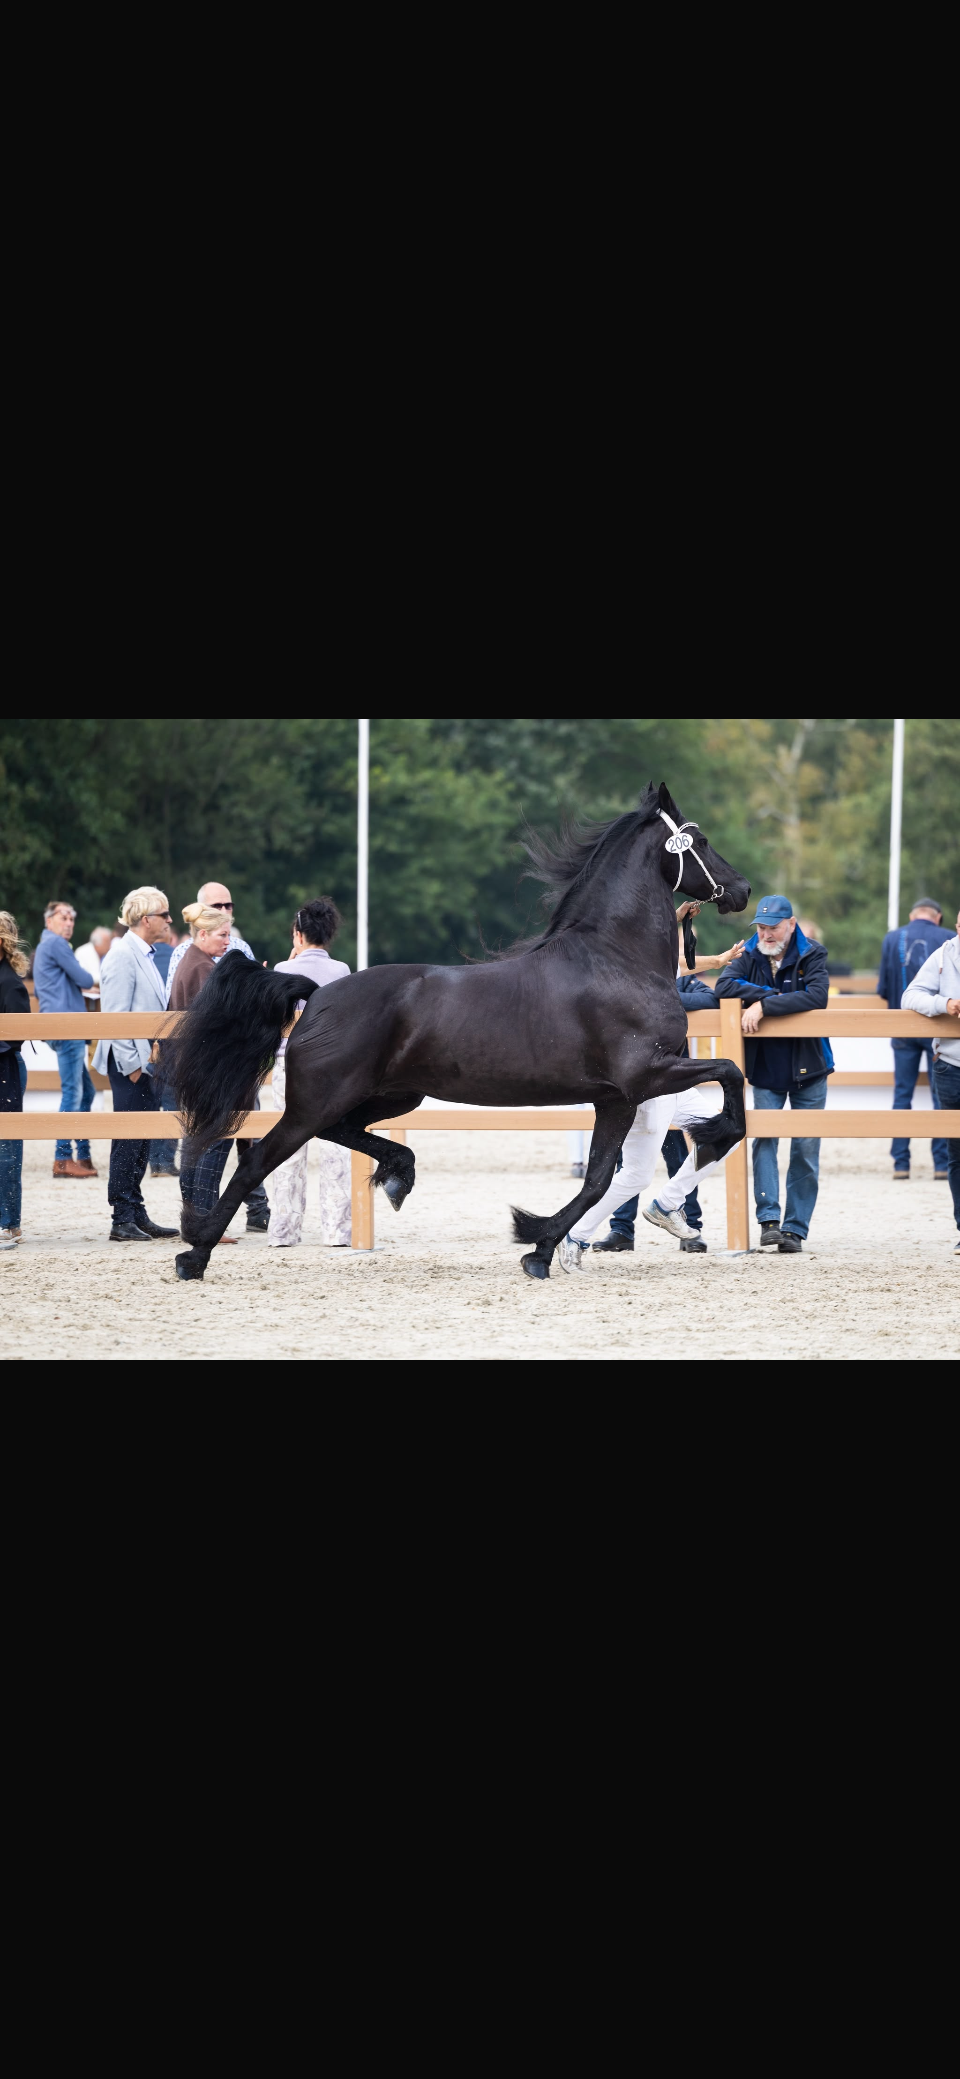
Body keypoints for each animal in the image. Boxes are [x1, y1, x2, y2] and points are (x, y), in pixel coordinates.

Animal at [168, 781, 750, 1282]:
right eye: (700, 841)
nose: (742, 889)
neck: (615, 958)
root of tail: (317, 994)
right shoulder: (646, 1075)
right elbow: (730, 1078)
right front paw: (711, 1138)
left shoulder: (617, 1098)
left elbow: (598, 1179)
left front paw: (539, 1246)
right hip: (318, 1101)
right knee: (258, 1161)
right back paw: (193, 1256)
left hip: (391, 1095)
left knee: (344, 1132)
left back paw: (399, 1174)